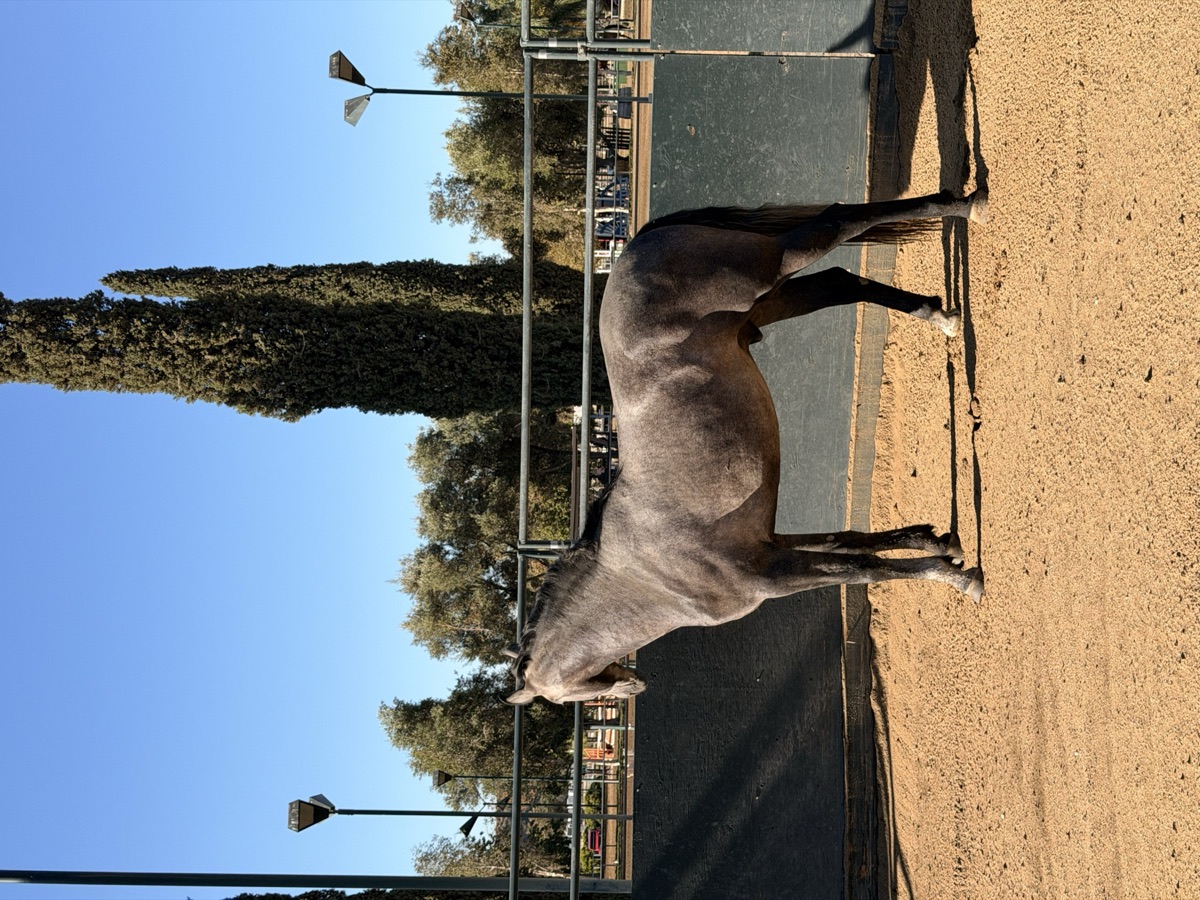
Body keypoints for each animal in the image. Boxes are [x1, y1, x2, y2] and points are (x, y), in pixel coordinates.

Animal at [505, 189, 988, 706]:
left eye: (564, 698)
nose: (633, 688)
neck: (648, 576)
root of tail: (635, 245)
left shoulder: (774, 575)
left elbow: (863, 569)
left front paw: (960, 579)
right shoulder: (776, 546)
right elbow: (856, 543)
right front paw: (940, 544)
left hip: (774, 265)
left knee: (838, 221)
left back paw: (966, 208)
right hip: (772, 301)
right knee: (840, 280)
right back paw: (942, 315)